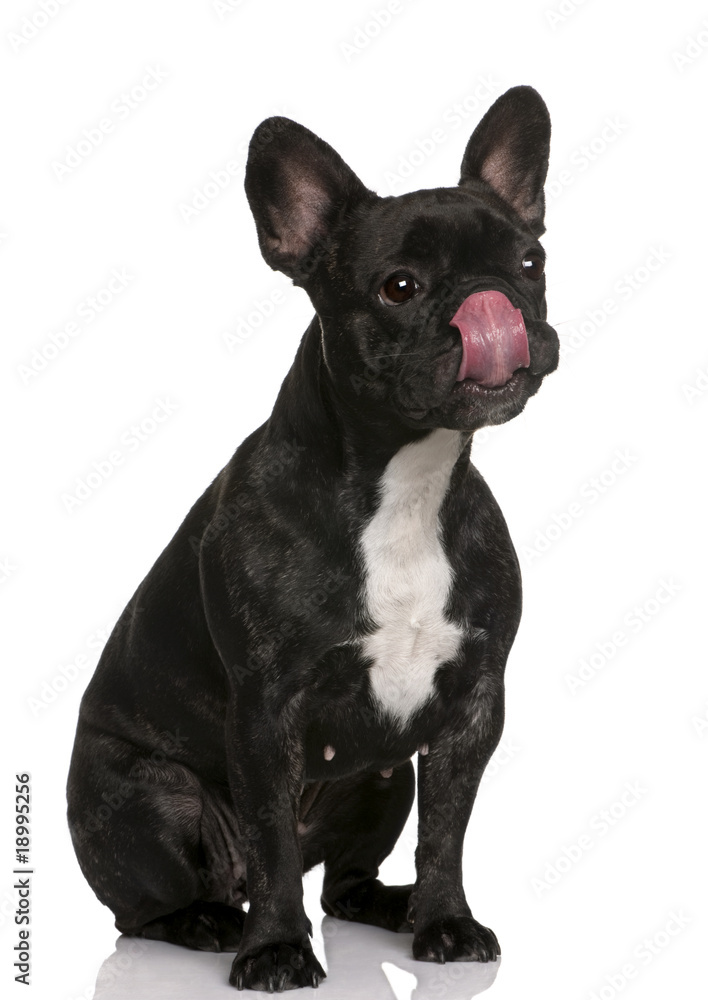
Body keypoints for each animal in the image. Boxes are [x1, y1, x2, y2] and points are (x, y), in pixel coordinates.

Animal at [69, 88, 560, 992]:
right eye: (398, 287)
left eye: (531, 262)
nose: (492, 298)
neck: (404, 483)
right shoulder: (267, 710)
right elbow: (270, 838)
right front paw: (275, 950)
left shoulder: (475, 703)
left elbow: (447, 829)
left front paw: (446, 922)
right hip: (147, 798)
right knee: (152, 906)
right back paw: (210, 921)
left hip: (380, 783)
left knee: (340, 883)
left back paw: (393, 907)